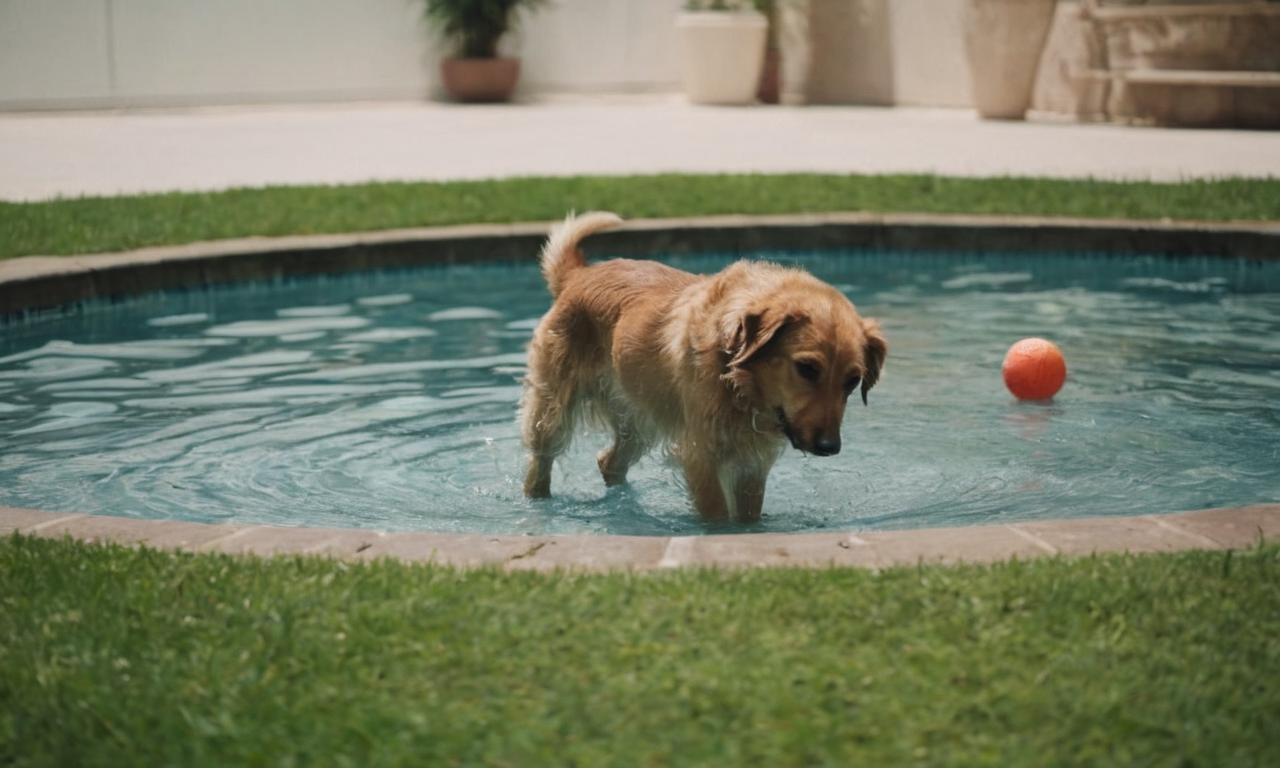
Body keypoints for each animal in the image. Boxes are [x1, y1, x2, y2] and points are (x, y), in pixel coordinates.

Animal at [514, 209, 885, 522]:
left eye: (853, 380)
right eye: (807, 368)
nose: (829, 447)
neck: (734, 371)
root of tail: (580, 275)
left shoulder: (751, 464)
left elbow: (748, 518)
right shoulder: (700, 456)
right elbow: (718, 518)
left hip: (638, 418)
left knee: (609, 462)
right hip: (553, 412)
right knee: (541, 462)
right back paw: (538, 504)